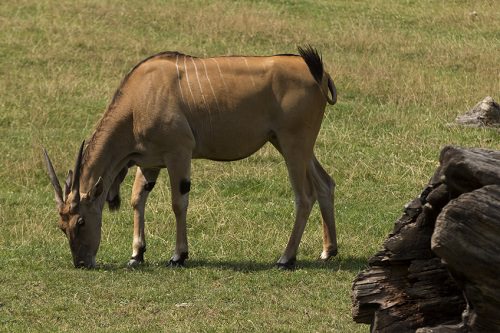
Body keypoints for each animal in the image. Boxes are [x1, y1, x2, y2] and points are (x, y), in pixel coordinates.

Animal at [43, 45, 338, 268]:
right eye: (61, 226)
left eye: (81, 221)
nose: (82, 263)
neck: (138, 99)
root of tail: (318, 72)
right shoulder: (149, 163)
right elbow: (137, 199)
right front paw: (137, 254)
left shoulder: (179, 154)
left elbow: (178, 203)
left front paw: (178, 255)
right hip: (290, 145)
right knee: (325, 184)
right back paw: (328, 251)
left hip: (293, 145)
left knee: (304, 197)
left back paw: (286, 258)